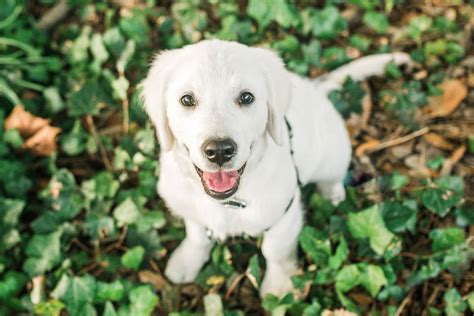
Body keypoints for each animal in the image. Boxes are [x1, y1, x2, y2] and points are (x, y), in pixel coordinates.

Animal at [141, 39, 408, 296]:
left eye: (246, 97)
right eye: (187, 99)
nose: (219, 150)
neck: (229, 201)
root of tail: (315, 89)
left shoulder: (284, 214)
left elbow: (274, 250)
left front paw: (278, 287)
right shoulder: (188, 206)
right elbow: (196, 234)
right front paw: (186, 261)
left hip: (332, 154)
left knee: (332, 178)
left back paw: (331, 196)